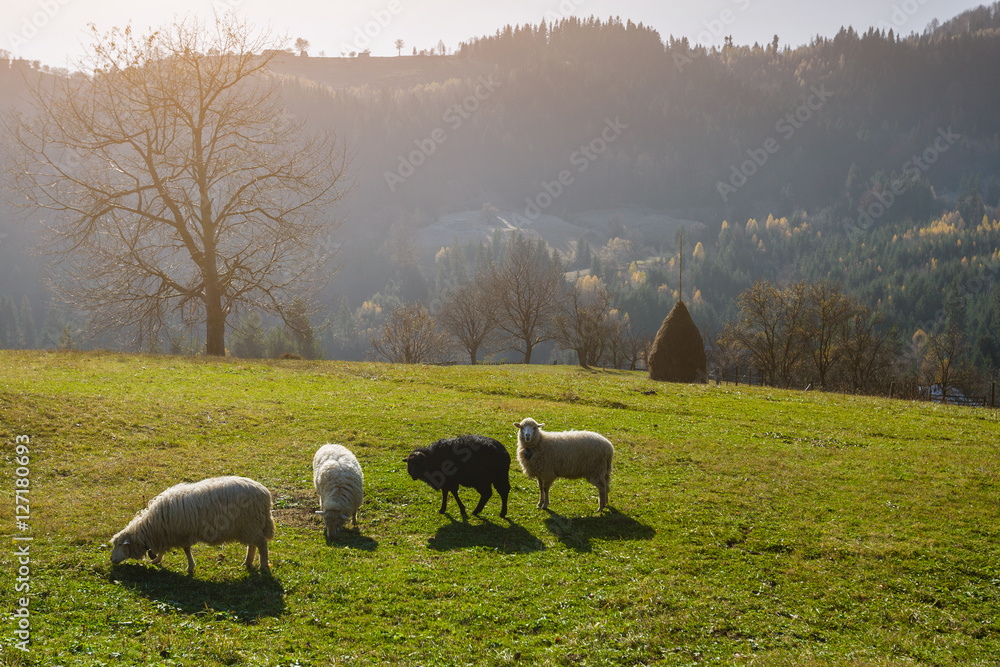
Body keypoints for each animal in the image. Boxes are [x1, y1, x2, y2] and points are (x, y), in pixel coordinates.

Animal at [110, 476, 274, 576]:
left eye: (119, 544)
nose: (111, 560)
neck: (151, 527)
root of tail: (265, 493)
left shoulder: (180, 534)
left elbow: (186, 550)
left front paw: (190, 567)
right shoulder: (165, 534)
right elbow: (163, 550)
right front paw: (156, 560)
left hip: (250, 524)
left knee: (262, 544)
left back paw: (263, 565)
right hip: (249, 527)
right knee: (252, 544)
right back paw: (247, 562)